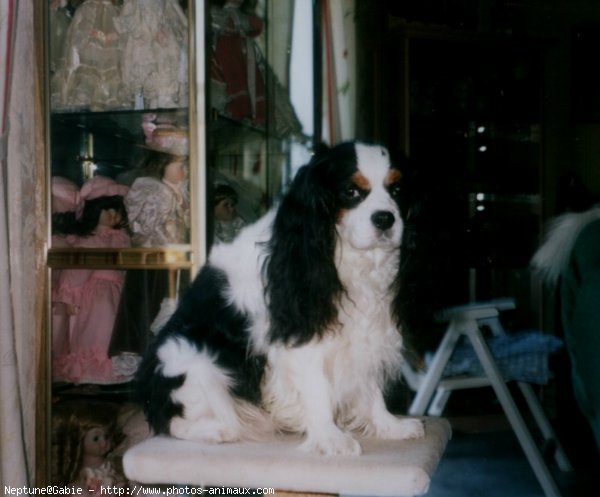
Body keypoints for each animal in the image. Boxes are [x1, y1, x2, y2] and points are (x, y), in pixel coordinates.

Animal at [136, 140, 426, 454]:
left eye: (397, 190)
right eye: (351, 192)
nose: (385, 218)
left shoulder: (365, 331)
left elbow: (368, 385)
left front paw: (389, 425)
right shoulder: (301, 336)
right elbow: (317, 390)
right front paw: (330, 437)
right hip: (187, 355)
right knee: (175, 423)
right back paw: (220, 430)